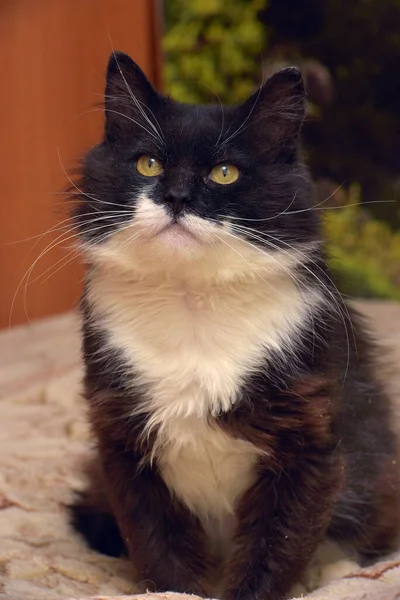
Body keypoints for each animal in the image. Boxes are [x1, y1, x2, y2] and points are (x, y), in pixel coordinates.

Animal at [69, 52, 400, 600]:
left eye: (225, 172)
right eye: (148, 164)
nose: (178, 196)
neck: (192, 305)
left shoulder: (310, 440)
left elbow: (277, 546)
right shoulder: (122, 439)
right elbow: (157, 547)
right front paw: (172, 591)